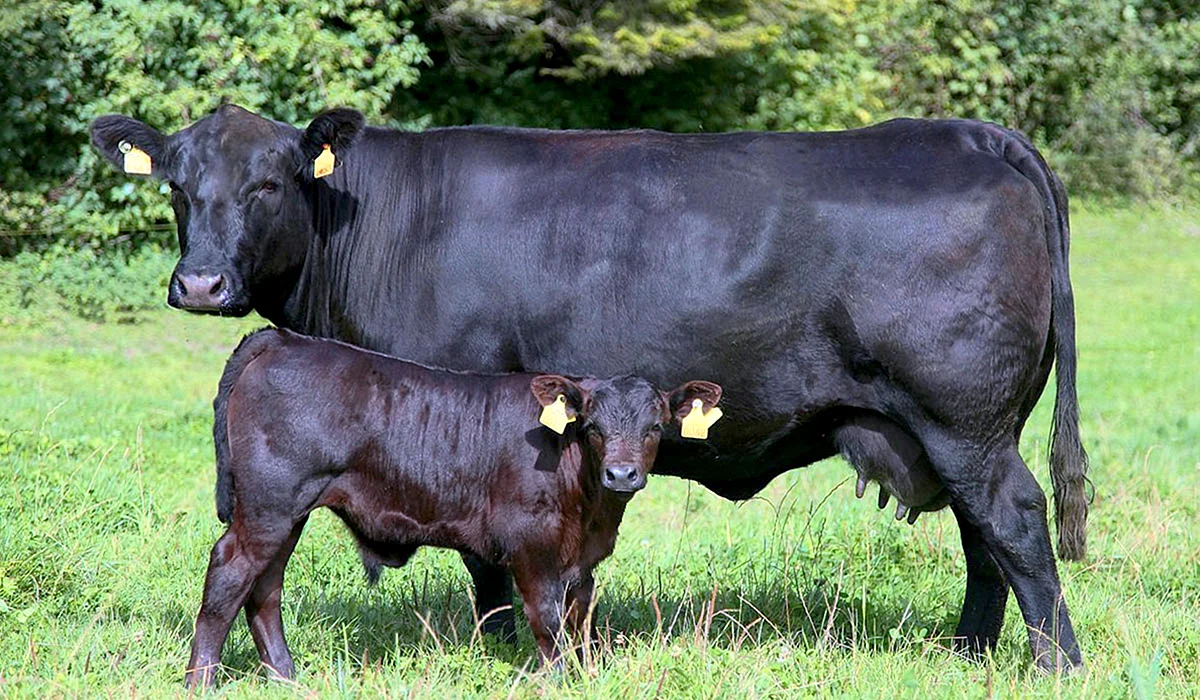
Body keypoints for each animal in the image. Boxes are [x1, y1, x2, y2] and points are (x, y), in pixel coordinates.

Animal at [184, 326, 724, 686]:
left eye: (654, 427)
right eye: (592, 426)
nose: (622, 474)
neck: (589, 509)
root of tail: (283, 339)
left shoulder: (582, 562)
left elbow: (579, 621)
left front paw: (587, 676)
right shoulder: (532, 549)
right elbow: (547, 624)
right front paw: (556, 682)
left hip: (285, 512)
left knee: (265, 588)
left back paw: (286, 676)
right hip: (268, 506)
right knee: (230, 574)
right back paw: (201, 680)